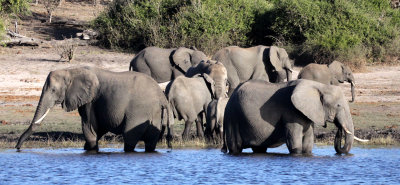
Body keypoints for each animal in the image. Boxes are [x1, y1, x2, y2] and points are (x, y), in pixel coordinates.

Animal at [15, 66, 173, 152]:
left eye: (53, 90)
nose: (17, 147)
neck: (72, 70)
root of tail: (162, 97)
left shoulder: (90, 100)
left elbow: (90, 127)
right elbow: (99, 128)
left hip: (139, 111)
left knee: (130, 139)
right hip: (154, 112)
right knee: (151, 142)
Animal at [223, 79, 368, 155]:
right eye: (338, 105)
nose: (339, 129)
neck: (319, 85)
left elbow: (308, 142)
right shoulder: (291, 111)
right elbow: (295, 142)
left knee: (259, 148)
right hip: (232, 116)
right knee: (235, 147)